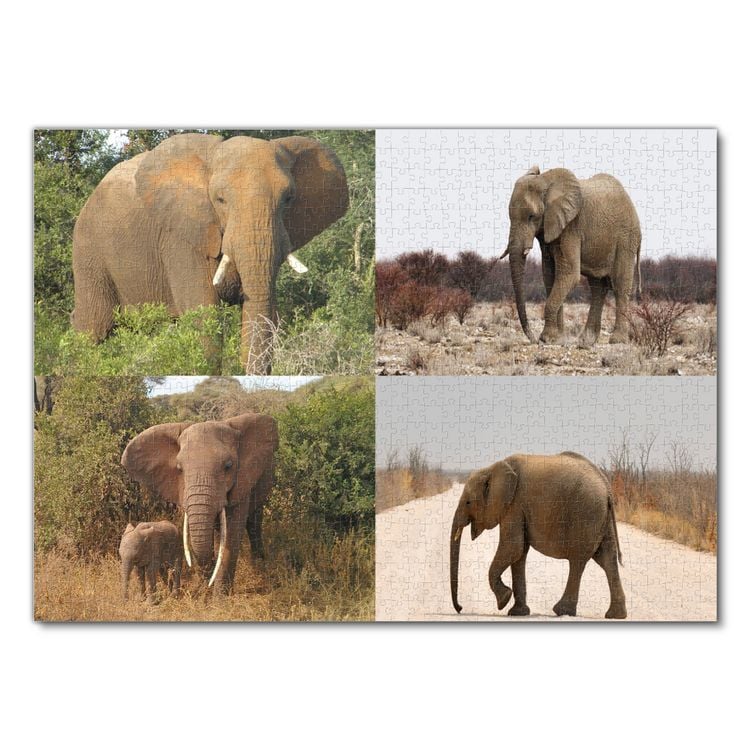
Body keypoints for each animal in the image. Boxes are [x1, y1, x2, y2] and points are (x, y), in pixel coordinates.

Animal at [71, 133, 349, 373]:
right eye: (220, 199)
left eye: (289, 198)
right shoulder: (181, 238)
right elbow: (205, 315)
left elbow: (264, 309)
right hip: (89, 251)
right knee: (92, 329)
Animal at [121, 413, 278, 593]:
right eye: (179, 468)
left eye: (228, 466)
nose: (205, 584)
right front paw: (204, 591)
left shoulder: (242, 481)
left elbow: (232, 532)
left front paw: (219, 597)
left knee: (253, 522)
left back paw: (259, 565)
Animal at [450, 452, 627, 619]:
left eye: (468, 502)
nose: (460, 608)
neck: (491, 469)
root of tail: (607, 489)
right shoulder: (517, 507)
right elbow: (519, 553)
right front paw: (517, 612)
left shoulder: (514, 505)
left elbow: (512, 547)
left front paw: (504, 600)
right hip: (601, 518)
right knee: (607, 559)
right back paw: (615, 615)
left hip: (585, 514)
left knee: (578, 561)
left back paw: (562, 611)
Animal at [500, 166, 641, 345]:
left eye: (531, 216)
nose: (533, 339)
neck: (547, 182)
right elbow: (550, 276)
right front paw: (556, 338)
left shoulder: (571, 227)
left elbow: (568, 274)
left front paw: (546, 339)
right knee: (598, 288)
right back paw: (586, 341)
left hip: (626, 238)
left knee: (620, 285)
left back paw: (617, 340)